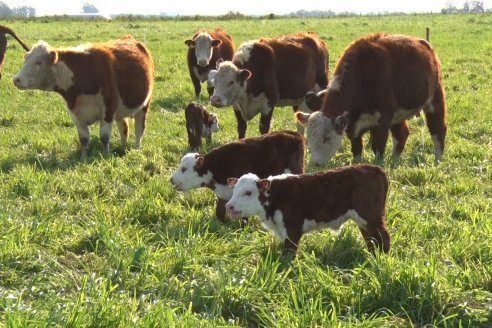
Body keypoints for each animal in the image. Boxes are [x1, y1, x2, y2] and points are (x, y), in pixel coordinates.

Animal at [12, 35, 154, 158]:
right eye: (26, 59)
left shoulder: (109, 109)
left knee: (139, 129)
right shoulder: (75, 114)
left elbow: (104, 137)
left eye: (38, 62)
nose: (16, 79)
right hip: (120, 111)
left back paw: (136, 148)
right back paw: (123, 148)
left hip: (144, 105)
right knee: (124, 128)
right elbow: (84, 139)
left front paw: (106, 155)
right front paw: (84, 157)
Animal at [171, 132, 306, 222]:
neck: (216, 167)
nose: (171, 179)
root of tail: (295, 134)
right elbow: (219, 213)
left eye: (184, 169)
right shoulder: (224, 194)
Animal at [225, 164, 390, 254]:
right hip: (364, 220)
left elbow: (289, 252)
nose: (229, 206)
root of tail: (375, 168)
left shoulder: (293, 227)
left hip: (370, 215)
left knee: (383, 237)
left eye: (248, 193)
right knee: (371, 238)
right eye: (234, 190)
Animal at [294, 34, 448, 164]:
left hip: (435, 100)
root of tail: (423, 43)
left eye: (326, 138)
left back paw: (437, 161)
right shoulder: (353, 126)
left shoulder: (383, 120)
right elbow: (357, 149)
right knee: (401, 135)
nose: (314, 164)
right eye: (309, 138)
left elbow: (377, 148)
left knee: (438, 130)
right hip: (398, 116)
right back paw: (394, 161)